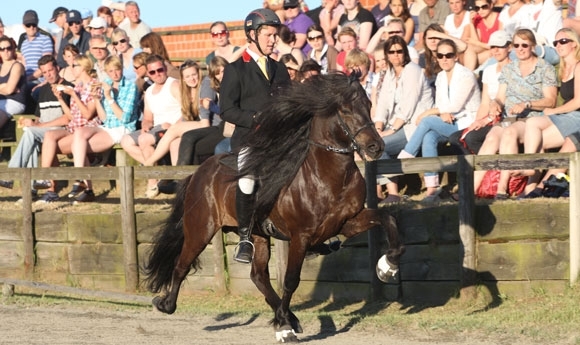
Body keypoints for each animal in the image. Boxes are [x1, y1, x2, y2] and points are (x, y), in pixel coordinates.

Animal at [143, 72, 406, 342]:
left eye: (369, 104)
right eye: (345, 110)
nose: (376, 147)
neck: (330, 175)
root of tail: (199, 171)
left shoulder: (347, 223)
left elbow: (388, 219)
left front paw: (387, 267)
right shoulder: (301, 236)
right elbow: (291, 280)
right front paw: (283, 329)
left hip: (257, 234)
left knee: (258, 275)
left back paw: (289, 317)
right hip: (200, 229)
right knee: (182, 264)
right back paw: (166, 304)